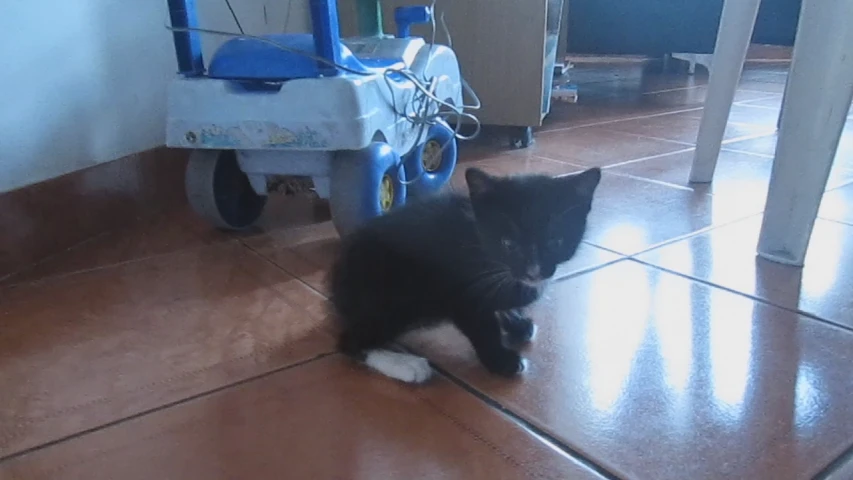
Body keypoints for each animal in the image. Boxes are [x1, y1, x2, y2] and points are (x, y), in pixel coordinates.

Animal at [326, 167, 600, 384]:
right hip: (393, 292)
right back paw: (405, 365)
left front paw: (515, 320)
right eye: (508, 244)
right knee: (349, 342)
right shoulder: (460, 292)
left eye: (555, 242)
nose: (533, 272)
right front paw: (501, 360)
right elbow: (482, 326)